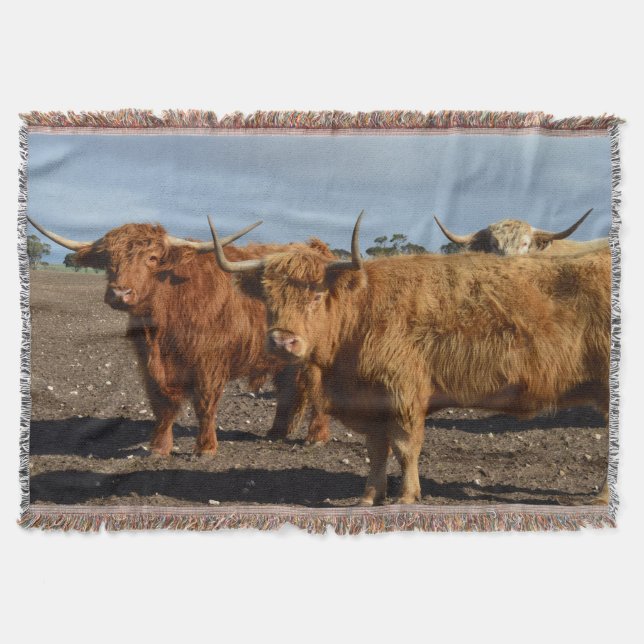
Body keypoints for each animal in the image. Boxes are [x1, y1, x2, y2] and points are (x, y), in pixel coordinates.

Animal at [27, 215, 333, 456]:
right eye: (109, 260)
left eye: (151, 259)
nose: (119, 293)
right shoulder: (149, 363)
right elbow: (162, 404)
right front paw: (159, 448)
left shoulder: (209, 362)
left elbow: (205, 403)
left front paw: (206, 448)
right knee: (288, 392)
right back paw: (276, 432)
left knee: (317, 394)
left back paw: (316, 437)